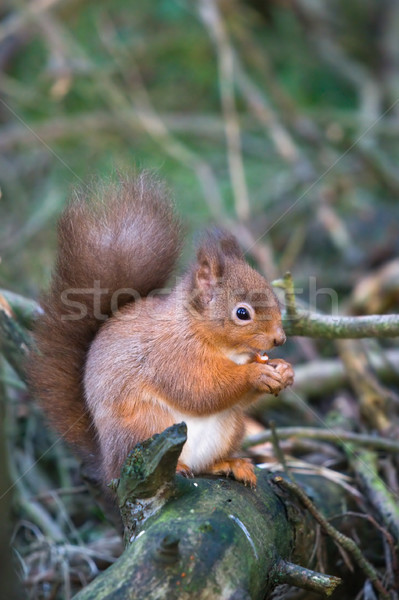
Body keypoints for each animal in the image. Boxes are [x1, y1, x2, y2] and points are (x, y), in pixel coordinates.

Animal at [29, 172, 296, 488]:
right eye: (242, 313)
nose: (279, 338)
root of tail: (108, 467)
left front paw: (285, 370)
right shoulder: (169, 355)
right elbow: (199, 389)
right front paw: (256, 374)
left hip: (231, 426)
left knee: (207, 463)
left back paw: (230, 464)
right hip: (143, 428)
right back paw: (179, 468)